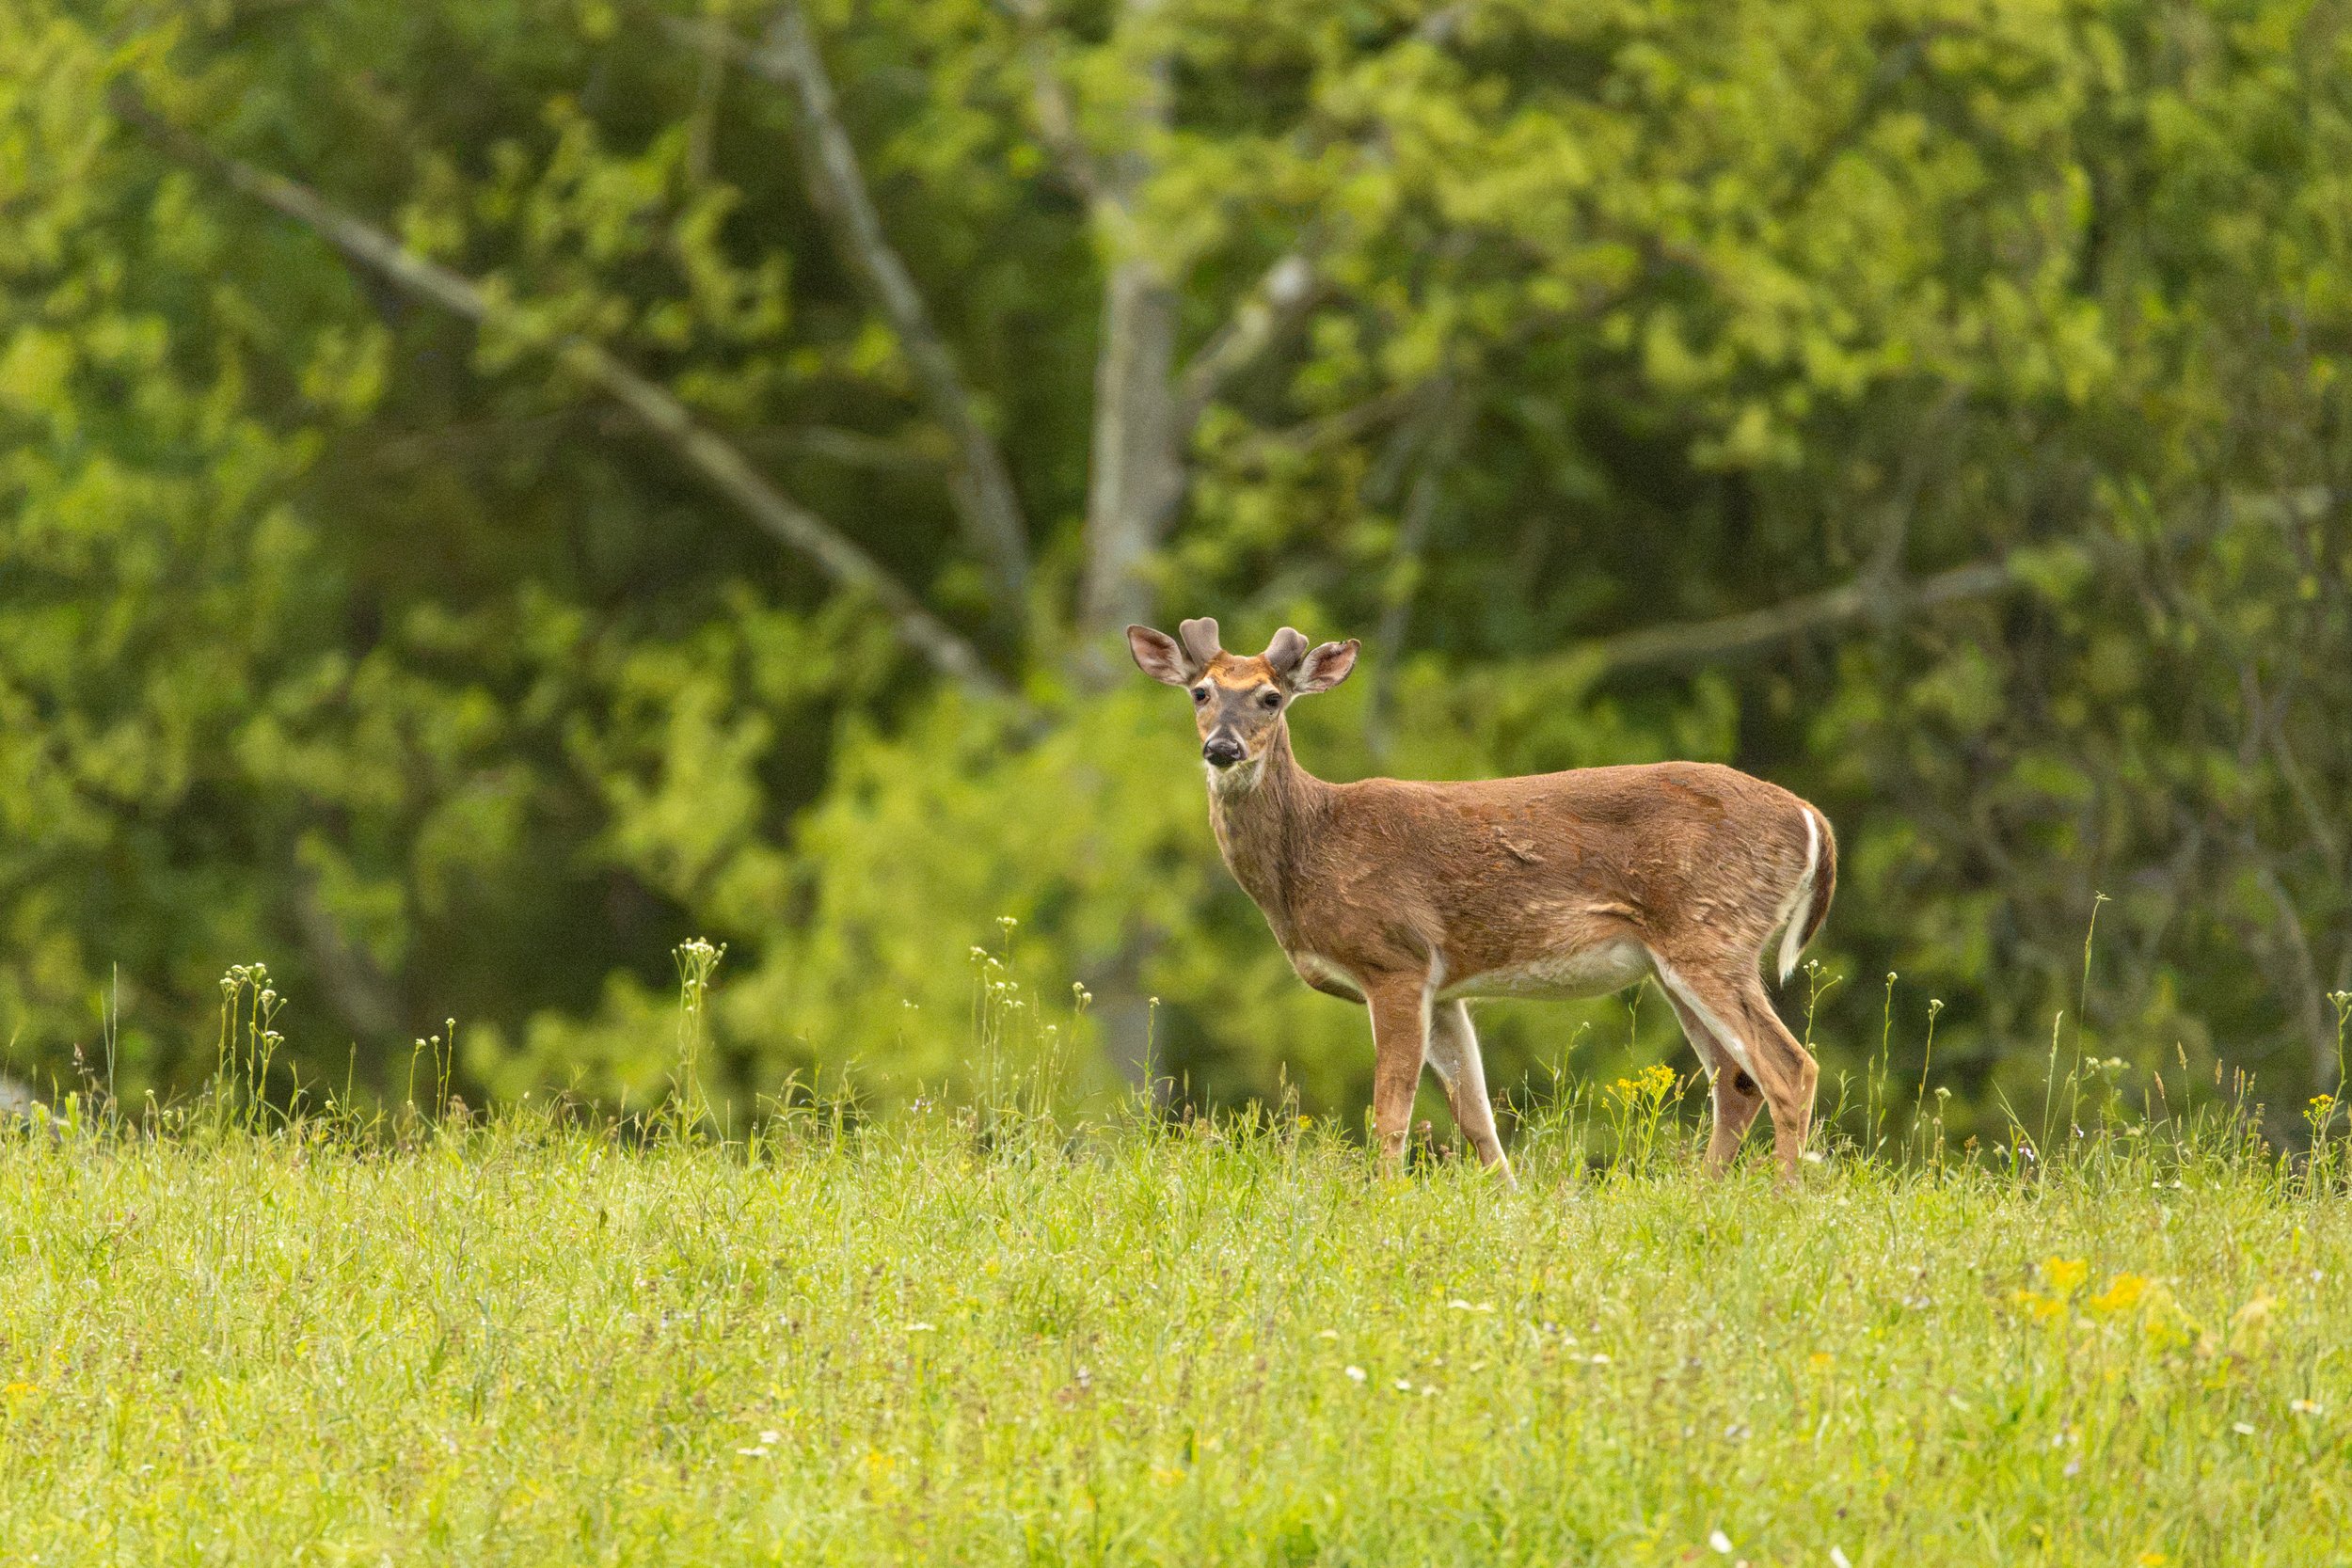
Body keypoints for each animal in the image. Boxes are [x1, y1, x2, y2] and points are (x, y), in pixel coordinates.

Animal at [1127, 617, 1836, 1187]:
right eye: (1200, 692)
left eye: (1272, 698)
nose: (1222, 747)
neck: (1311, 848)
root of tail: (1812, 817)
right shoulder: (1445, 988)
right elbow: (1476, 1119)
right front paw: (1510, 1206)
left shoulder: (1396, 958)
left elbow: (1392, 1111)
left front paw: (1382, 1202)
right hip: (1678, 959)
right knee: (1737, 1082)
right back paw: (1701, 1196)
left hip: (1710, 933)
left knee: (1790, 1068)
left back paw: (1783, 1196)